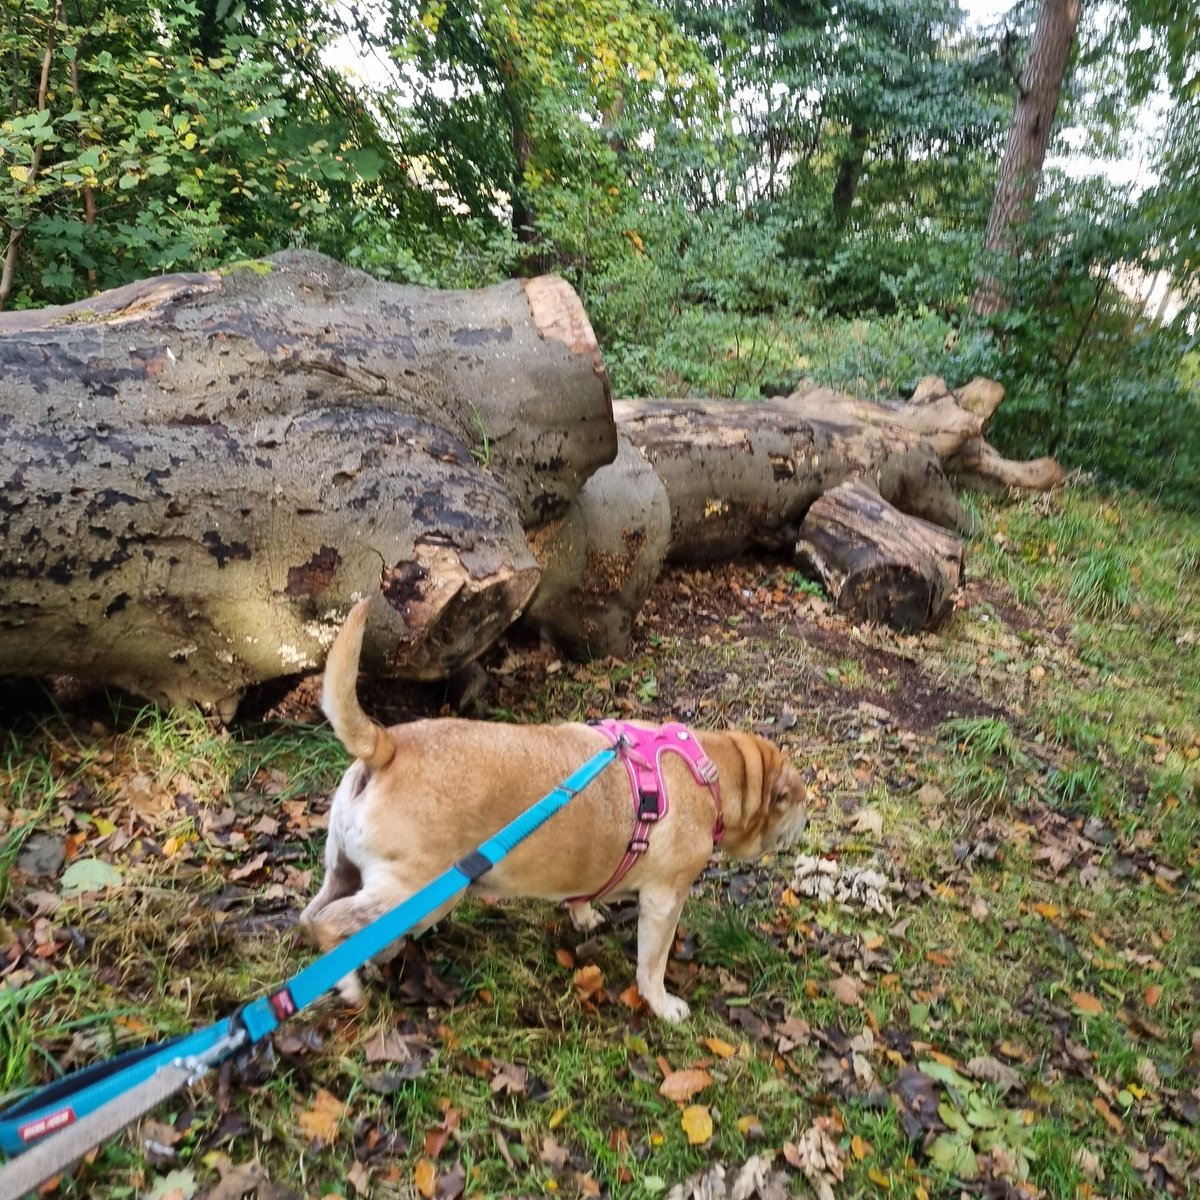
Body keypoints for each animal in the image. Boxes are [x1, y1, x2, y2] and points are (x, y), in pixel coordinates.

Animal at [300, 600, 806, 1022]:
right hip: (415, 892)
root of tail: (387, 746)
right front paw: (663, 1005)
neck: (712, 769)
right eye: (798, 802)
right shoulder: (665, 899)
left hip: (344, 870)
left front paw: (583, 915)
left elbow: (583, 894)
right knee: (332, 926)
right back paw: (350, 982)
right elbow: (652, 963)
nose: (806, 821)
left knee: (312, 916)